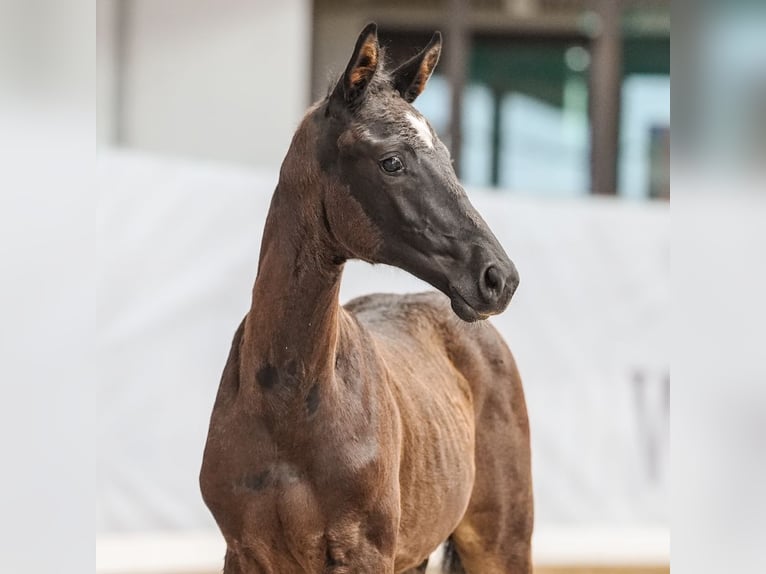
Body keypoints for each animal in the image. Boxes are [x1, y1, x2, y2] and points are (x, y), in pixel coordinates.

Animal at [200, 23, 536, 574]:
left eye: (447, 158)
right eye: (391, 161)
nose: (497, 278)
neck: (286, 408)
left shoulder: (363, 552)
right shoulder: (244, 553)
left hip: (502, 542)